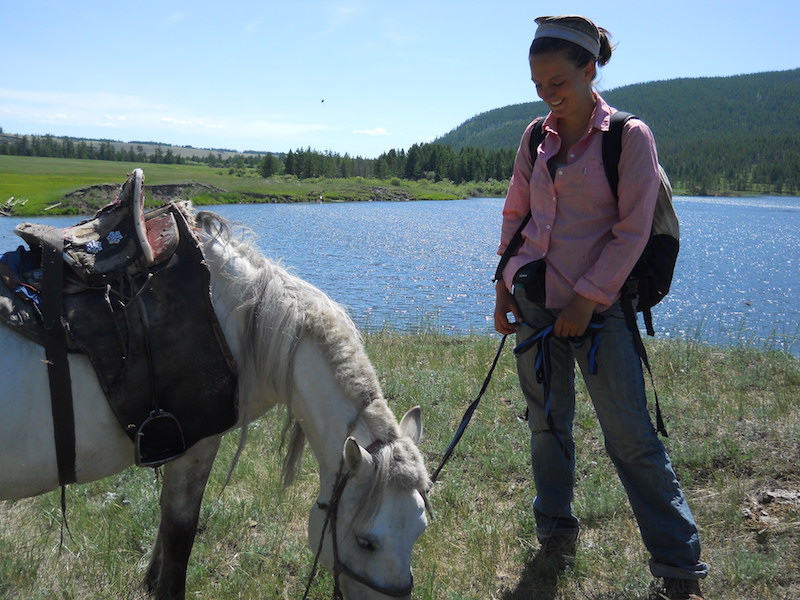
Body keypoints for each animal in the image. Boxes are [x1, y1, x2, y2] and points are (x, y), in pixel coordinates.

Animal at [0, 207, 432, 600]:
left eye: (421, 529)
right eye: (366, 542)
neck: (236, 318)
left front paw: (149, 580)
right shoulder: (195, 445)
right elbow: (179, 532)